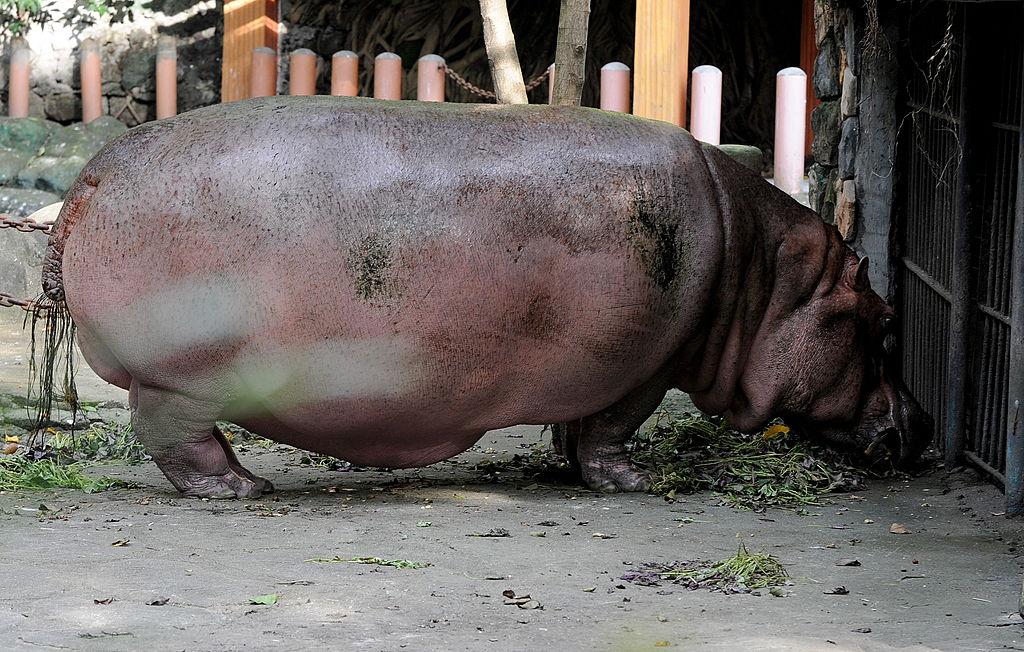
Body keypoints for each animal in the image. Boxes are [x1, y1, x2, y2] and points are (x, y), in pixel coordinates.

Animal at [36, 96, 932, 498]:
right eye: (886, 322)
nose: (923, 425)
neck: (765, 277)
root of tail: (88, 179)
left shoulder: (605, 364)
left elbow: (580, 423)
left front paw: (567, 462)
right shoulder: (648, 362)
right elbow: (614, 428)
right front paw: (630, 484)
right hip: (181, 378)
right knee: (174, 435)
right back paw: (241, 488)